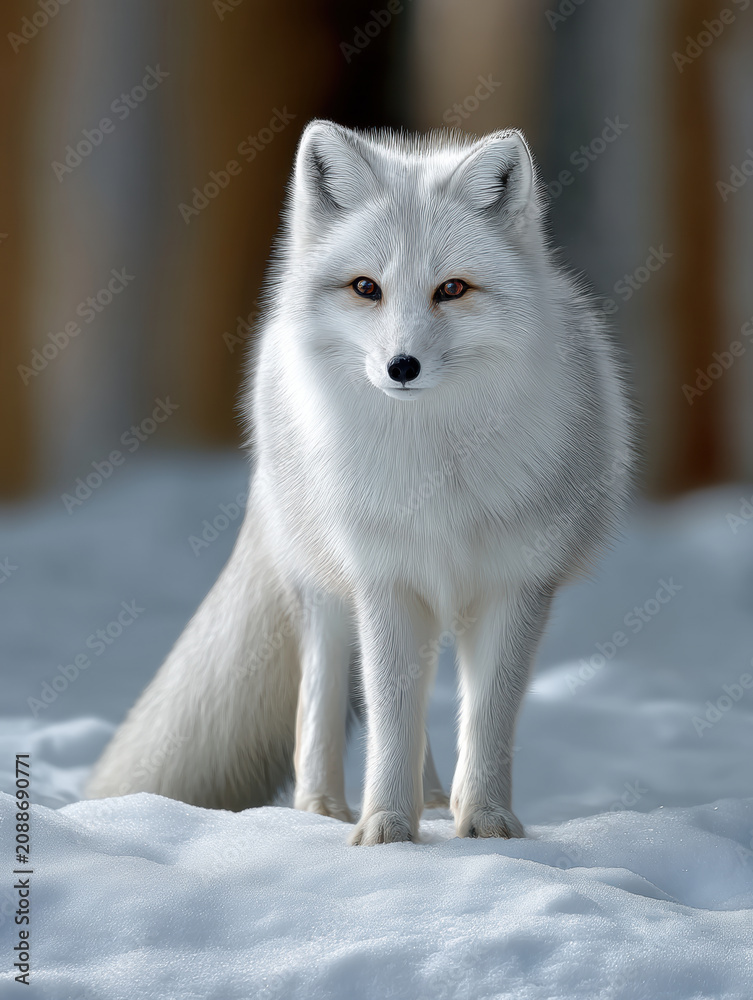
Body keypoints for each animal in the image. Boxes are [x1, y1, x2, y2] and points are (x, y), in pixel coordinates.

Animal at [87, 121, 634, 845]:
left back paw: (437, 801)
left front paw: (485, 823)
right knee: (327, 694)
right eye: (366, 288)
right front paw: (386, 829)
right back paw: (322, 808)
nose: (402, 366)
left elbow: (485, 720)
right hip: (324, 585)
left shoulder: (516, 587)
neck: (432, 472)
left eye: (452, 289)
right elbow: (389, 718)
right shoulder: (385, 581)